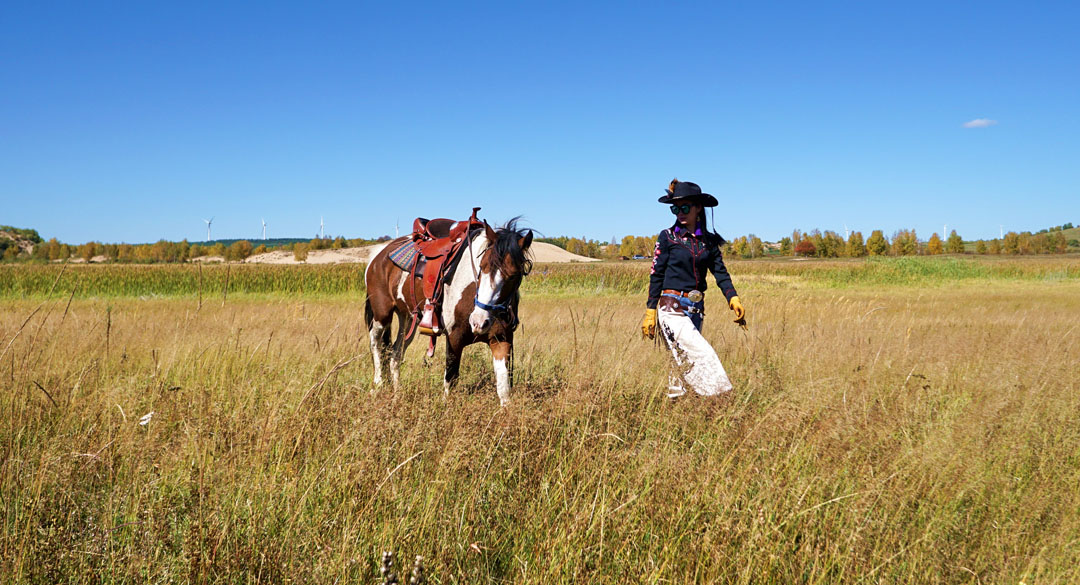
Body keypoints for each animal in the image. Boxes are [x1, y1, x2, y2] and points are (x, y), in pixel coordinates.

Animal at [362, 218, 531, 405]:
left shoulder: (501, 340)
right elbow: (450, 380)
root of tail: (379, 255)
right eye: (482, 266)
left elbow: (504, 389)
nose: (478, 322)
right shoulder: (454, 338)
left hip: (407, 319)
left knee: (395, 355)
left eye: (514, 276)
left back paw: (397, 395)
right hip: (381, 316)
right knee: (376, 346)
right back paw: (377, 385)